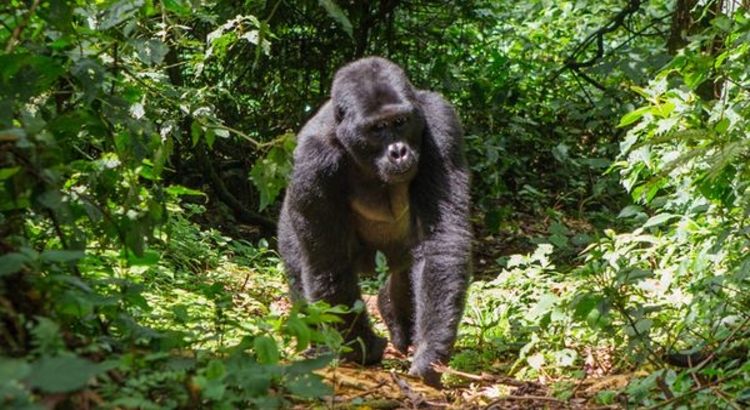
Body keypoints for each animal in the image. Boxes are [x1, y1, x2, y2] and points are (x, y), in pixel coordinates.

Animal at [280, 56, 472, 388]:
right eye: (377, 129)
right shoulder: (312, 159)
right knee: (300, 268)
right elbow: (329, 263)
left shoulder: (440, 121)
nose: (399, 152)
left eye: (400, 122)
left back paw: (393, 311)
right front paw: (362, 348)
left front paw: (430, 351)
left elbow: (442, 241)